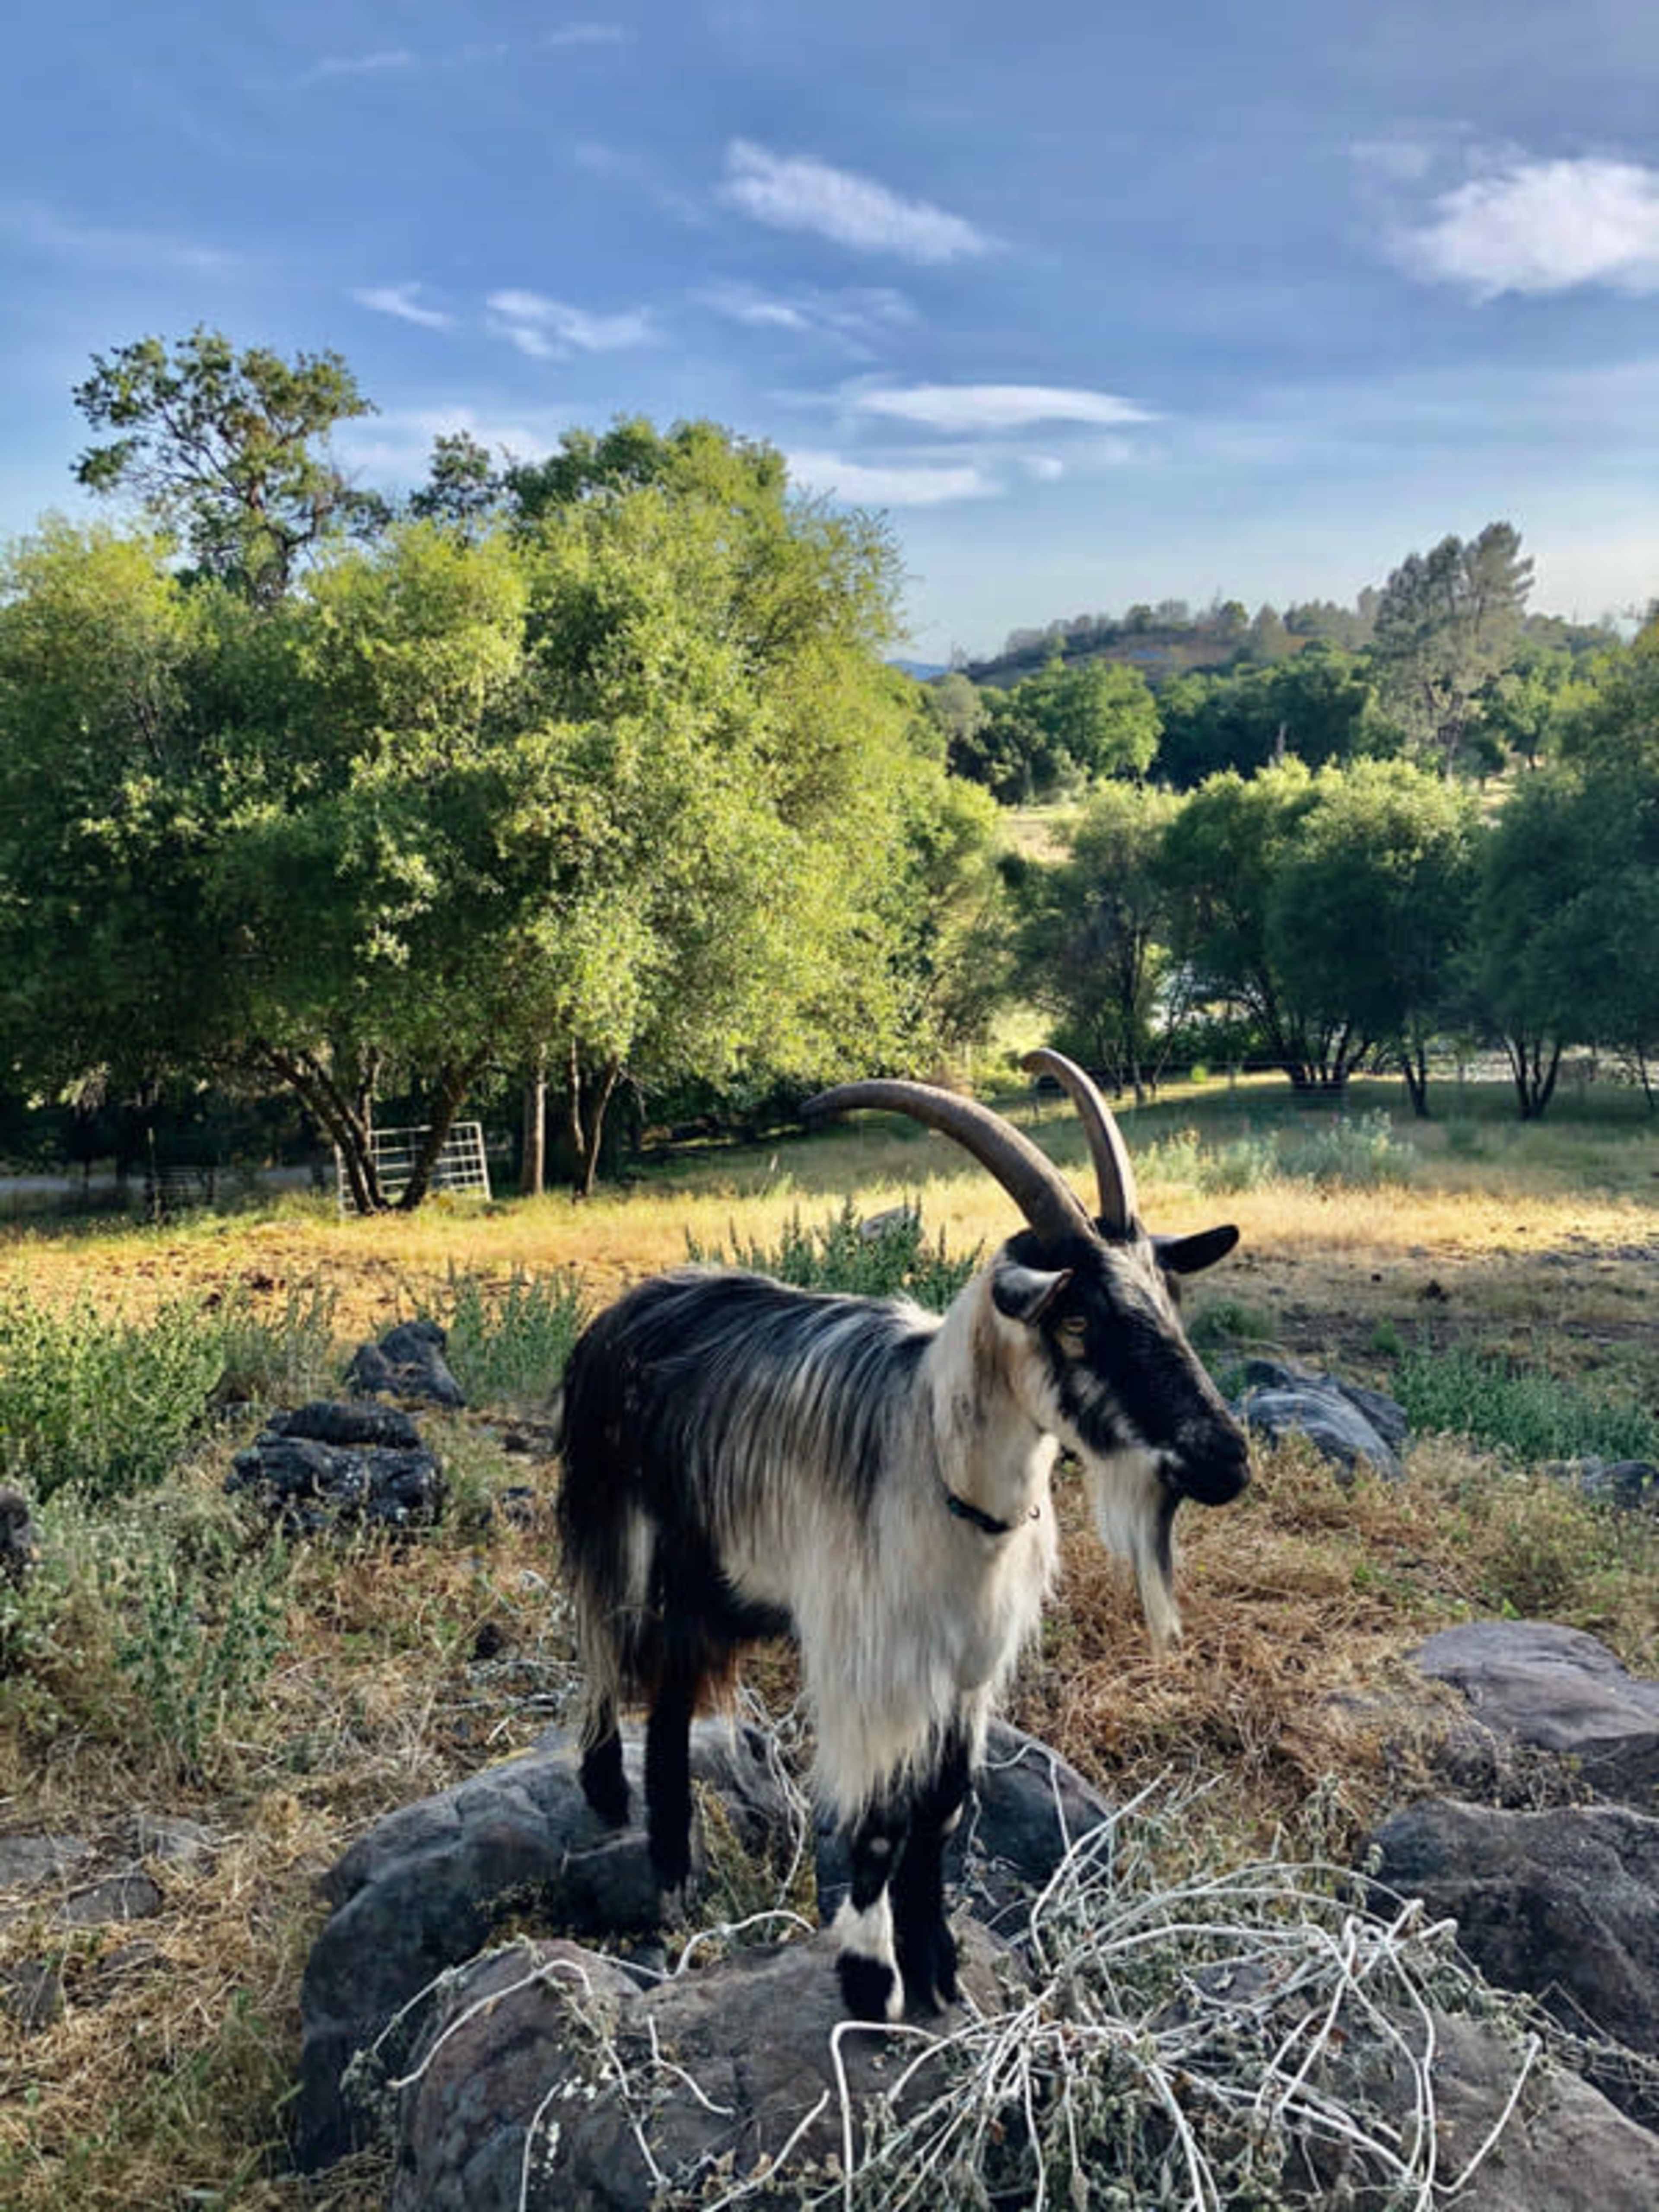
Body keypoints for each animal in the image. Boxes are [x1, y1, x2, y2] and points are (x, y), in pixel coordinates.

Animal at [556, 1051, 1250, 2021]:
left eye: (1169, 1301)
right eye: (1077, 1320)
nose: (1226, 1459)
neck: (946, 1476)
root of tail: (629, 1303)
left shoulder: (967, 1668)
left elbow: (943, 1810)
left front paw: (938, 1970)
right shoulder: (874, 1658)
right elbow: (882, 1824)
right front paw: (869, 1977)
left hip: (715, 1574)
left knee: (669, 1693)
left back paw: (674, 1869)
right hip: (613, 1523)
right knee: (605, 1645)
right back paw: (612, 1802)